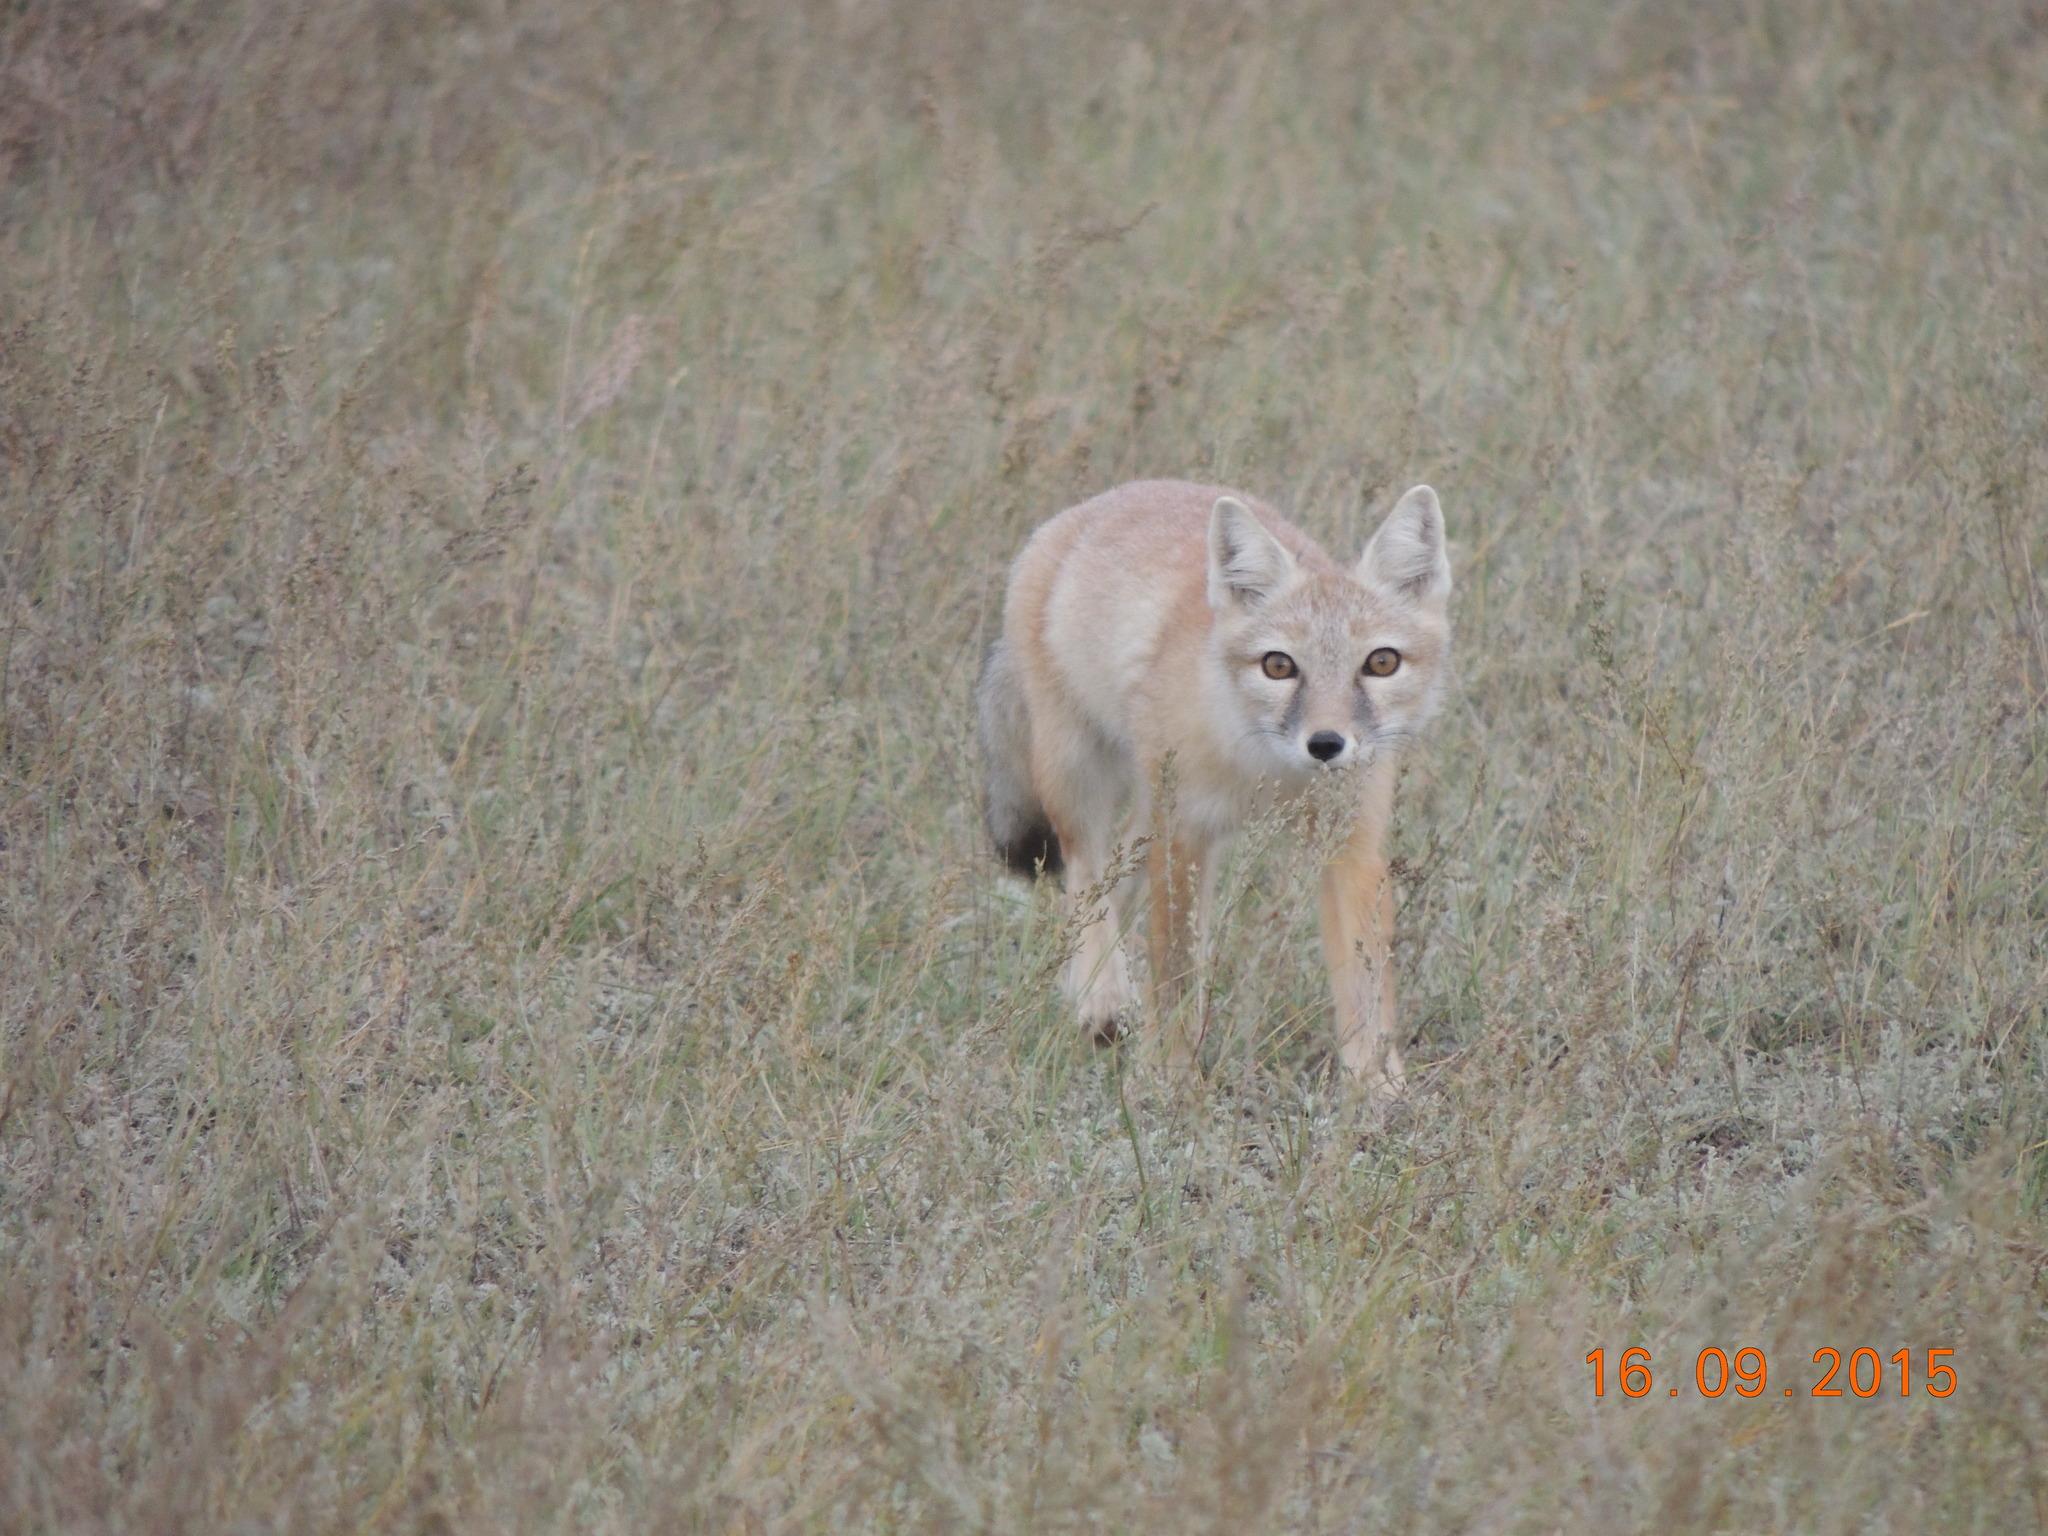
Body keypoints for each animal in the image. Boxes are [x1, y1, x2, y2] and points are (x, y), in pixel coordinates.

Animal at [977, 479, 1452, 1098]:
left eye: (1382, 662)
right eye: (1279, 666)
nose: (1325, 744)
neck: (1266, 772)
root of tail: (1097, 502)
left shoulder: (1350, 846)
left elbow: (1366, 983)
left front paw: (1375, 1085)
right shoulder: (1185, 837)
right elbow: (1176, 972)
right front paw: (1167, 1078)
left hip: (1146, 813)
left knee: (1109, 884)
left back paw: (1085, 988)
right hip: (1080, 775)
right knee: (1084, 875)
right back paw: (1103, 997)